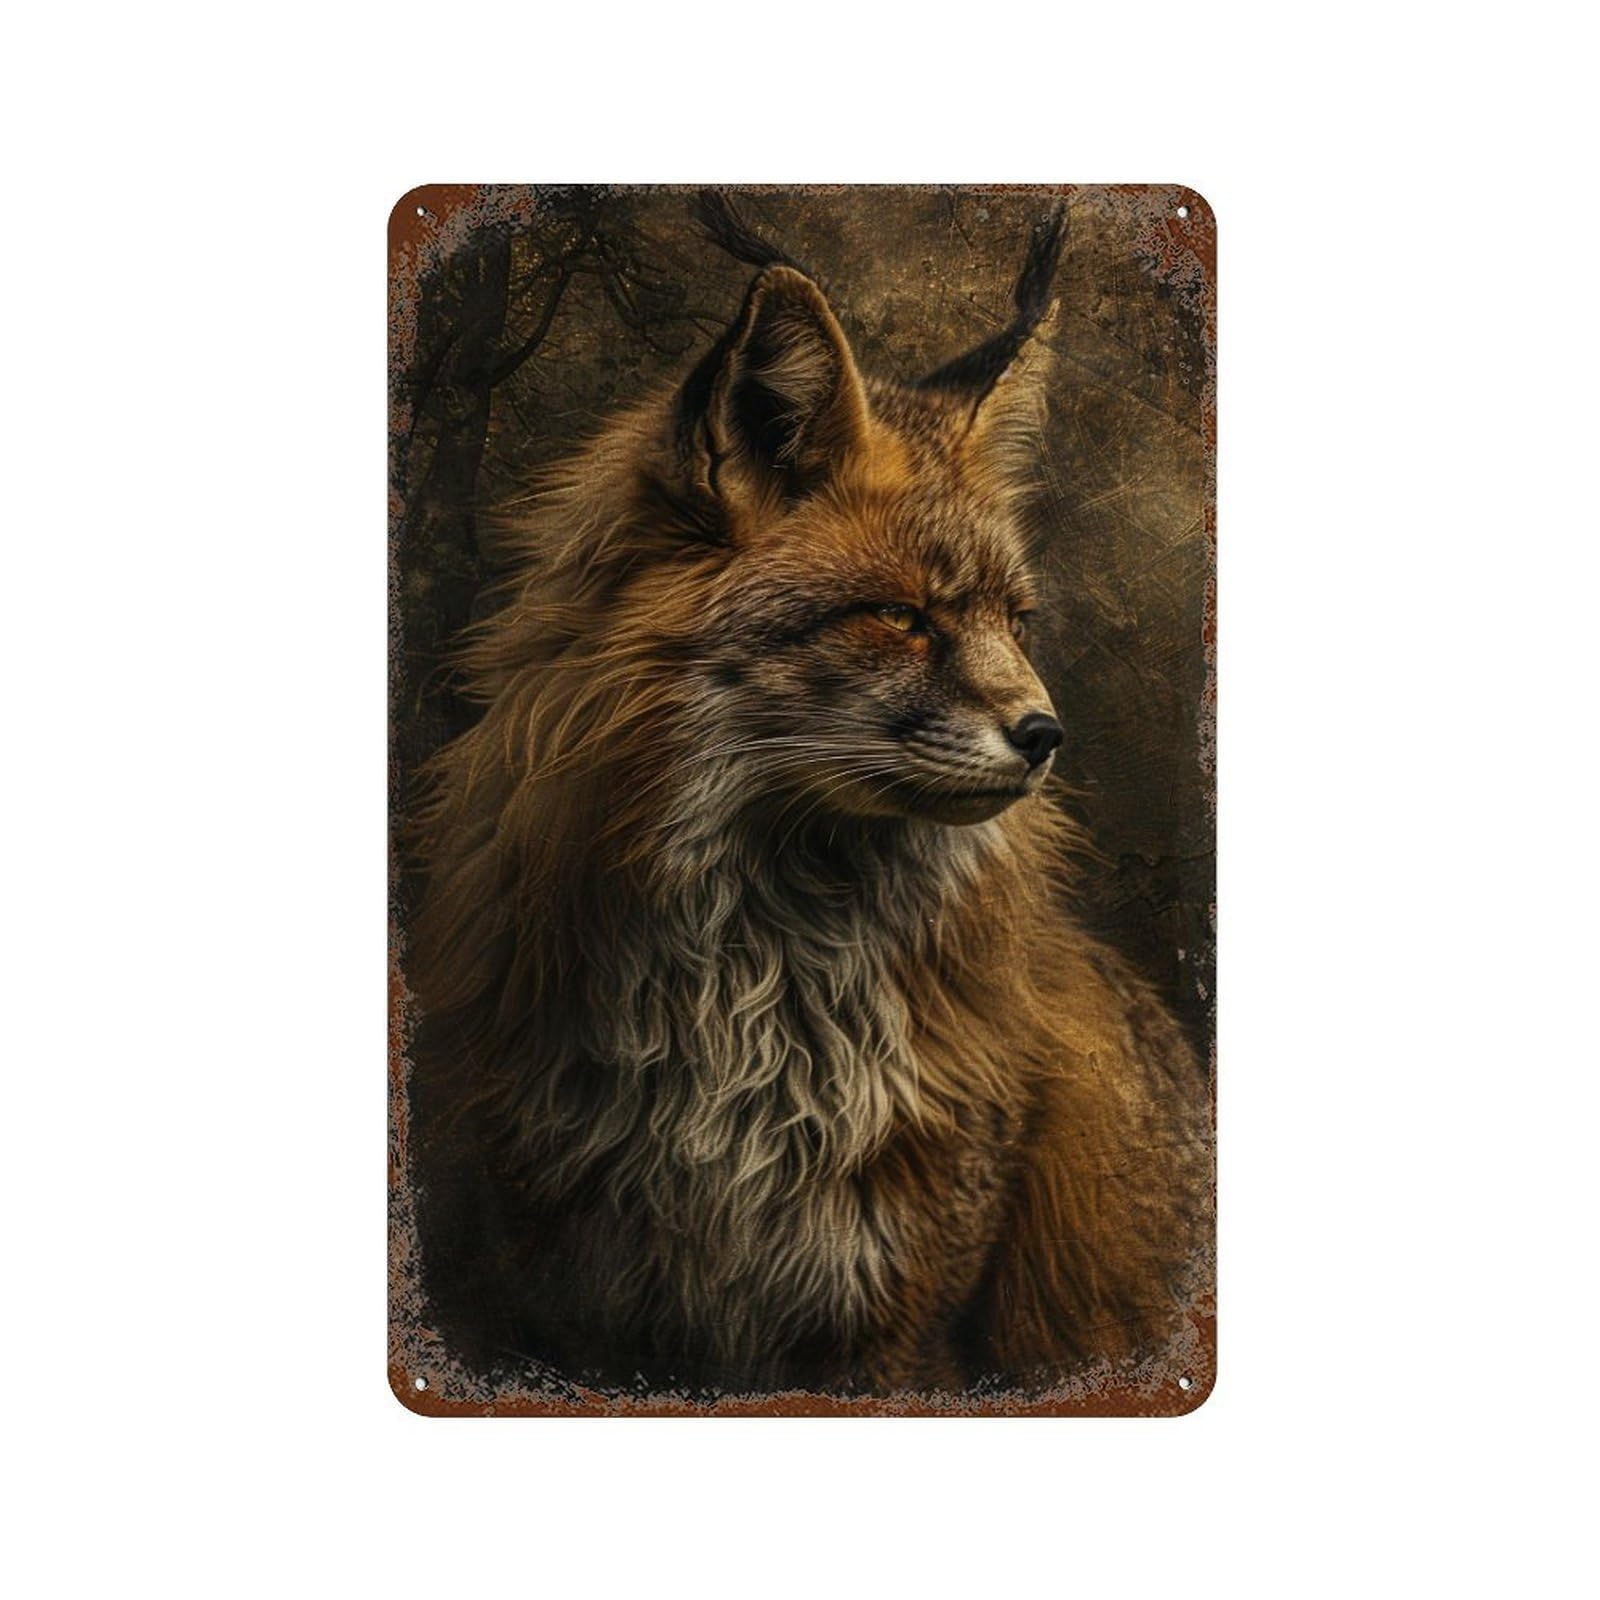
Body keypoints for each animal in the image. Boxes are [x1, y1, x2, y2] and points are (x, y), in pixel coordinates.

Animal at [405, 197, 1213, 1398]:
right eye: (902, 616)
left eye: (1014, 621)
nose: (1046, 737)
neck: (756, 1015)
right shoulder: (574, 1292)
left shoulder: (906, 1311)